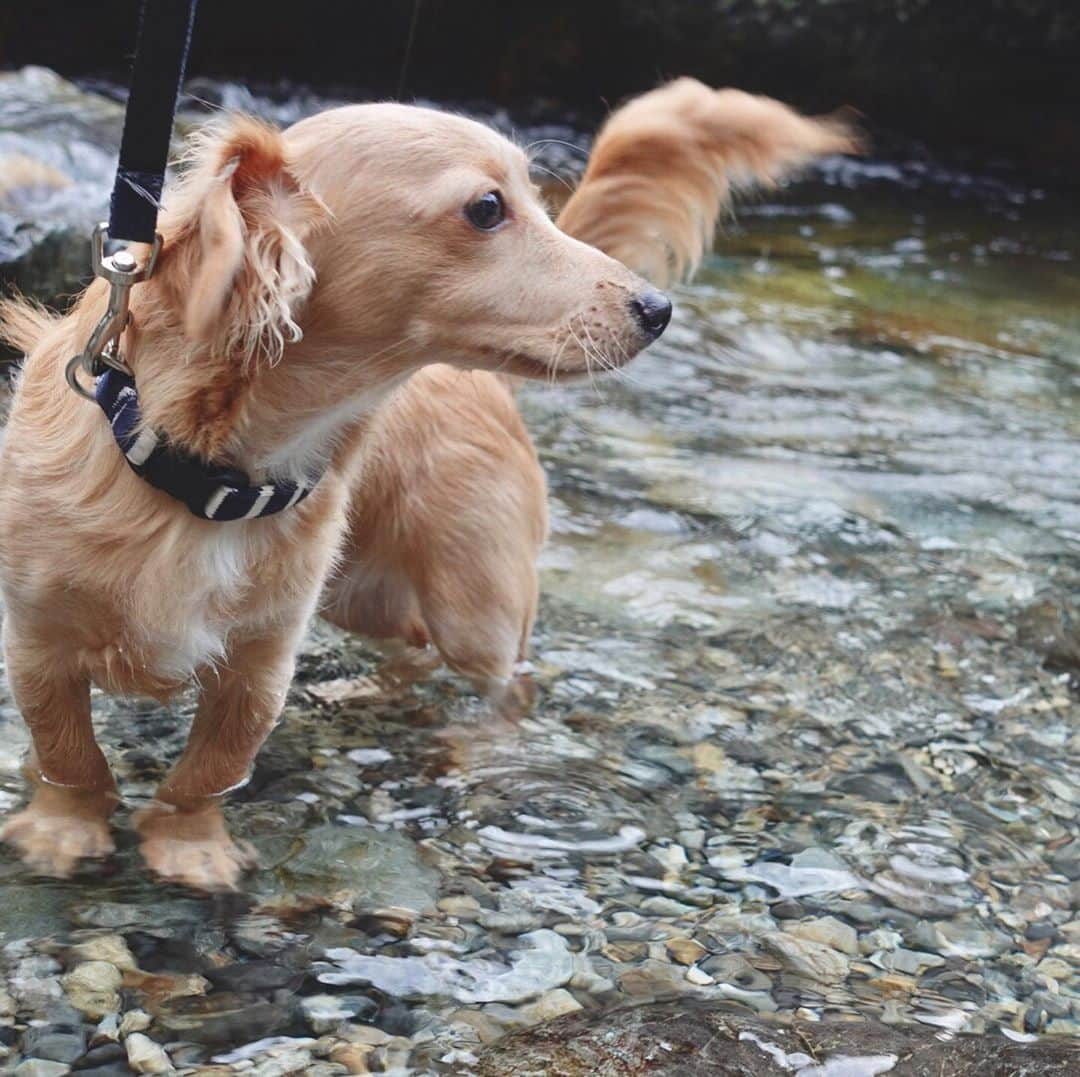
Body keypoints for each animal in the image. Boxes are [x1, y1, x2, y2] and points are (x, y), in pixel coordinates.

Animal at [2, 77, 859, 890]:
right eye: (487, 208)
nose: (658, 308)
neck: (196, 476)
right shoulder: (38, 641)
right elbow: (67, 750)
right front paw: (65, 827)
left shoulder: (259, 666)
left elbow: (211, 767)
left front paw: (187, 842)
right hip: (366, 595)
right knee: (415, 649)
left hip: (473, 607)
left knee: (505, 686)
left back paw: (475, 748)